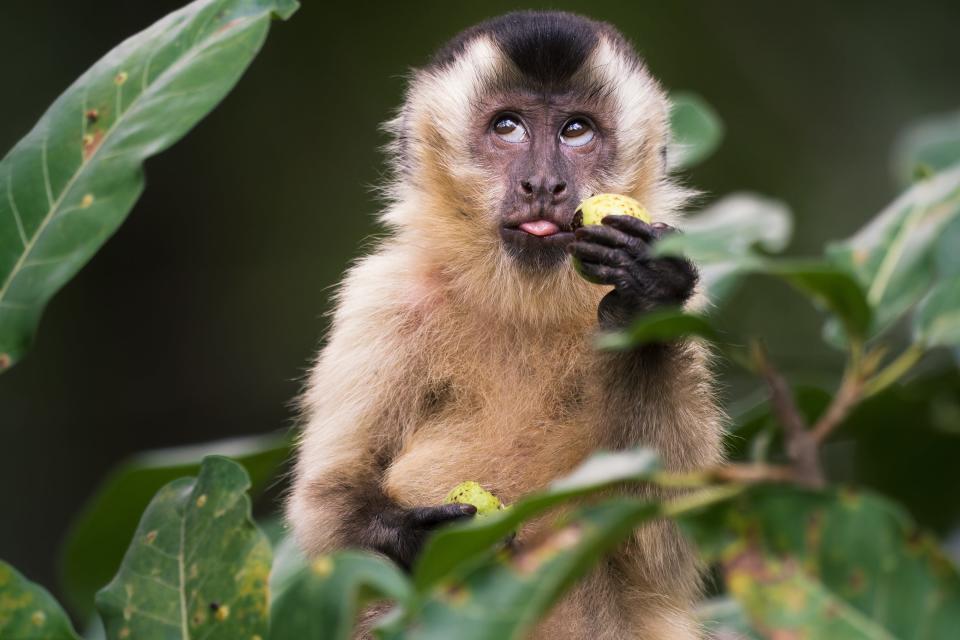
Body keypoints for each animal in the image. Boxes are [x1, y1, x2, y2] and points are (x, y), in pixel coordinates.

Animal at [288, 10, 724, 640]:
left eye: (575, 131)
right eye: (508, 127)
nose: (542, 183)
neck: (520, 304)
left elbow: (662, 539)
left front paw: (644, 295)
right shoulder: (378, 298)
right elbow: (325, 508)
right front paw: (426, 539)